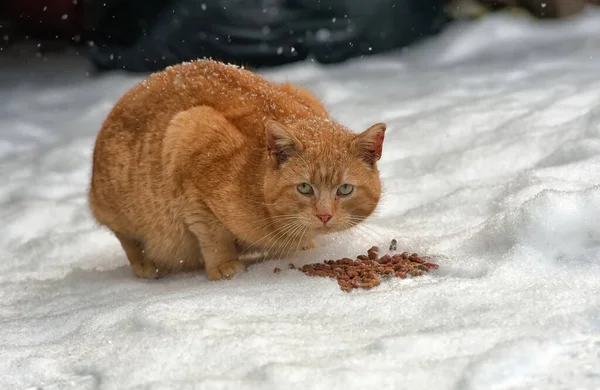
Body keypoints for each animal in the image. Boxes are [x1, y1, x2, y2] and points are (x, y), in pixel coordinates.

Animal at [91, 58, 386, 280]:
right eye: (304, 188)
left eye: (344, 189)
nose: (324, 216)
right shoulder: (188, 143)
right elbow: (212, 234)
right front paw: (224, 266)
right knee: (127, 239)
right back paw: (145, 264)